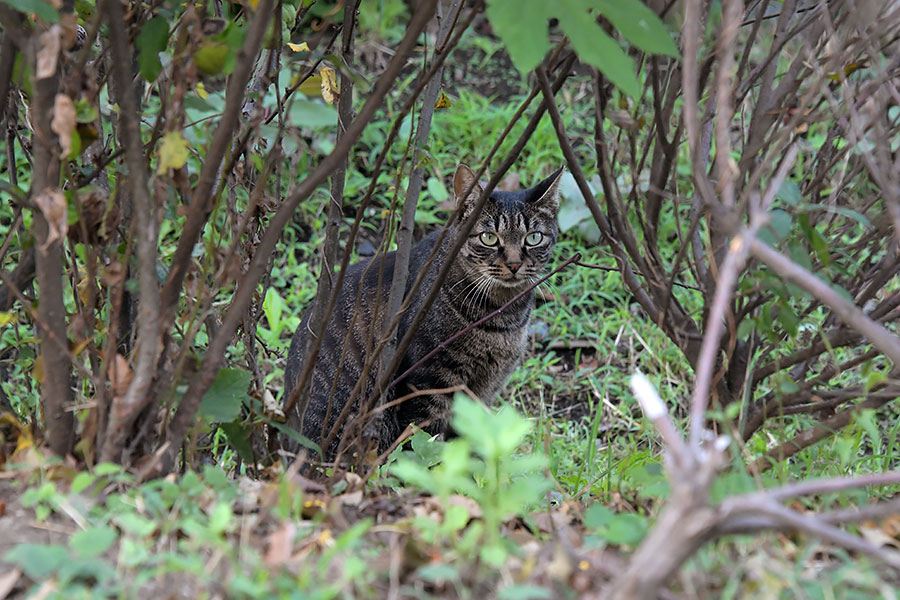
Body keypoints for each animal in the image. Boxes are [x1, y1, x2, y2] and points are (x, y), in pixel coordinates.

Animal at [282, 164, 564, 460]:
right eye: (489, 238)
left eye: (534, 238)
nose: (514, 264)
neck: (504, 316)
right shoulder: (430, 380)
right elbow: (422, 445)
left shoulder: (485, 389)